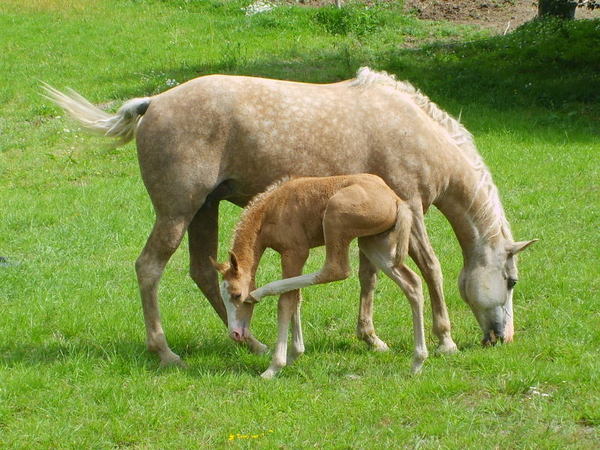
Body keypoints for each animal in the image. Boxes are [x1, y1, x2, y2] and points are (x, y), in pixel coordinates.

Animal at [211, 174, 426, 378]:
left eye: (237, 295)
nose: (235, 333)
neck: (270, 210)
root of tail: (396, 199)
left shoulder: (294, 252)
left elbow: (285, 303)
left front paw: (275, 366)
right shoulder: (293, 257)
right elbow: (296, 298)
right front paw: (294, 354)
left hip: (335, 218)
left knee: (336, 270)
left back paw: (262, 292)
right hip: (373, 242)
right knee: (412, 283)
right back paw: (418, 362)